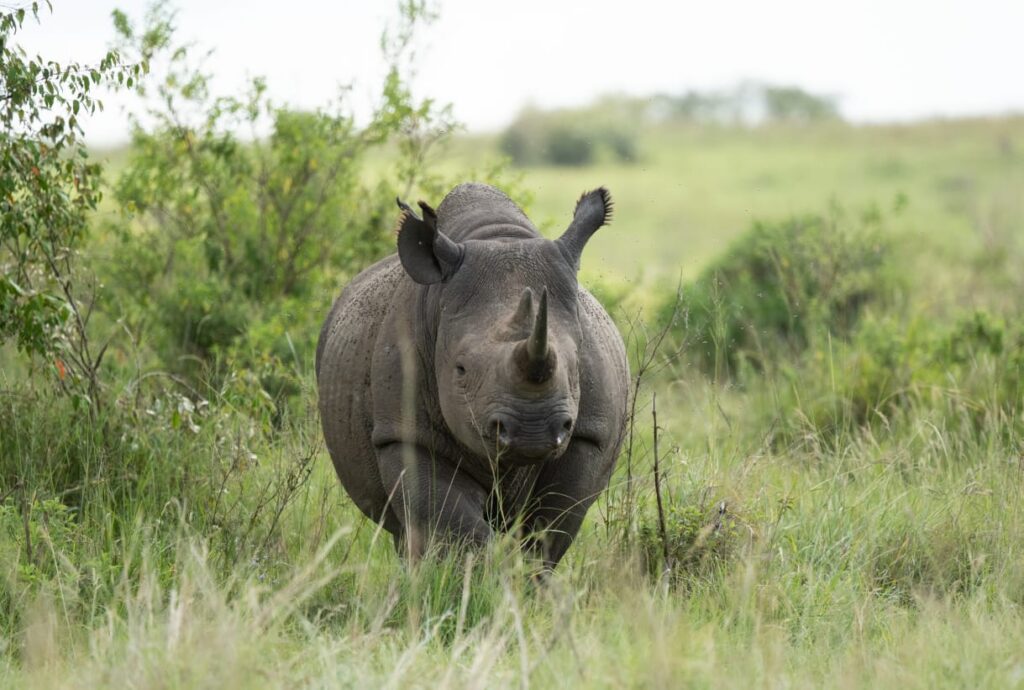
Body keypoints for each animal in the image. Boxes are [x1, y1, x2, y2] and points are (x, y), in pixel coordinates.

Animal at [316, 182, 629, 569]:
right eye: (461, 369)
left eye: (576, 366)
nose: (533, 430)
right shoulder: (405, 432)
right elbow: (456, 528)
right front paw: (480, 577)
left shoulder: (587, 435)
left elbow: (546, 530)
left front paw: (524, 579)